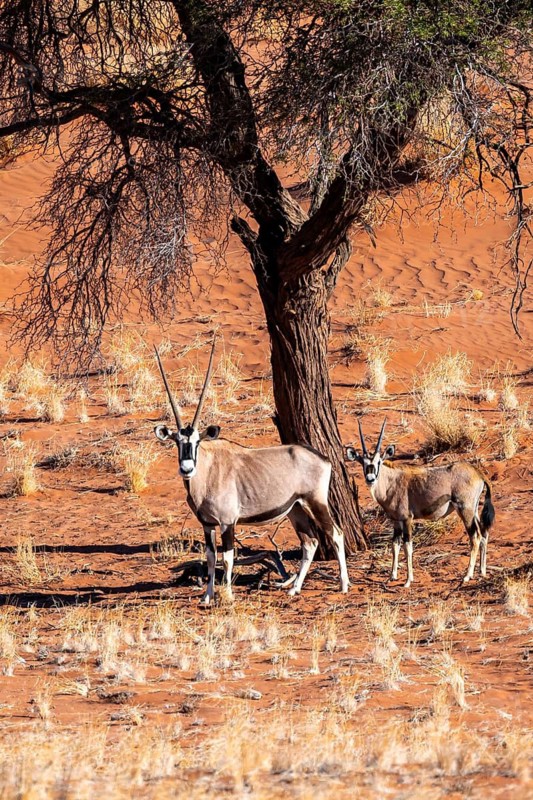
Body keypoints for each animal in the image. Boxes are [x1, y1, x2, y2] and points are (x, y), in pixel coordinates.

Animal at [153, 339, 349, 604]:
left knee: (336, 534)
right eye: (176, 441)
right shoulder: (207, 524)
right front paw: (207, 597)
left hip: (315, 502)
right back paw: (295, 588)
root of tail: (323, 458)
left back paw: (344, 584)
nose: (187, 468)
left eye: (197, 442)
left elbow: (227, 558)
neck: (207, 473)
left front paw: (227, 596)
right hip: (295, 509)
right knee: (310, 542)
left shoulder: (227, 523)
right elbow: (211, 558)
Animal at [346, 419, 495, 587]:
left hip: (465, 509)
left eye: (379, 462)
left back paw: (467, 575)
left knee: (475, 536)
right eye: (363, 463)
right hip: (473, 510)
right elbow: (395, 545)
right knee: (483, 533)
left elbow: (408, 546)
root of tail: (478, 473)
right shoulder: (395, 520)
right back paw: (482, 571)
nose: (370, 479)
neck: (391, 481)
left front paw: (408, 580)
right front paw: (392, 576)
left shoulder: (407, 519)